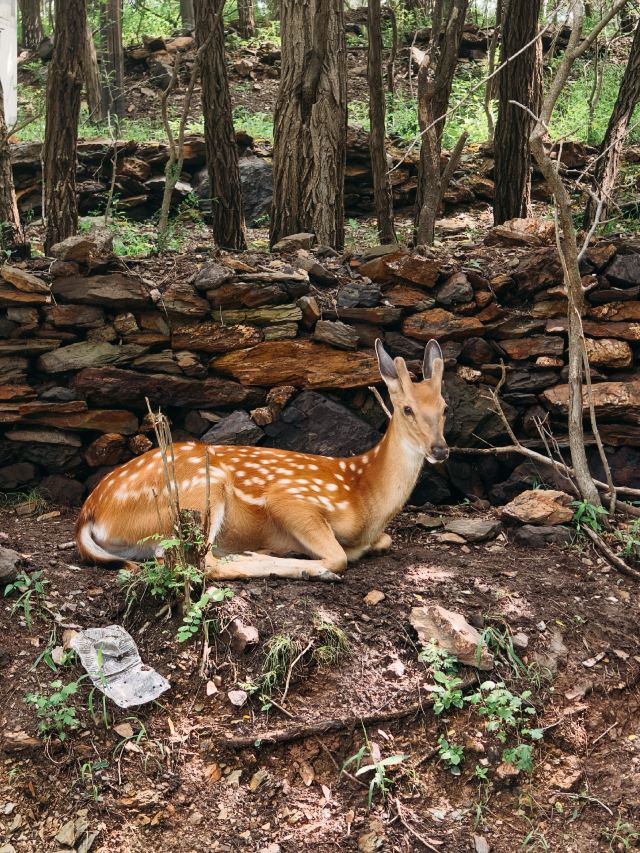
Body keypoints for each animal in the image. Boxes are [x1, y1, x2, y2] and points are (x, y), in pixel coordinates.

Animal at [75, 339, 448, 583]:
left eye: (445, 407)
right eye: (407, 409)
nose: (440, 449)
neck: (365, 496)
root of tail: (89, 514)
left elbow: (382, 541)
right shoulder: (291, 497)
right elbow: (340, 556)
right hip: (200, 490)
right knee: (202, 563)